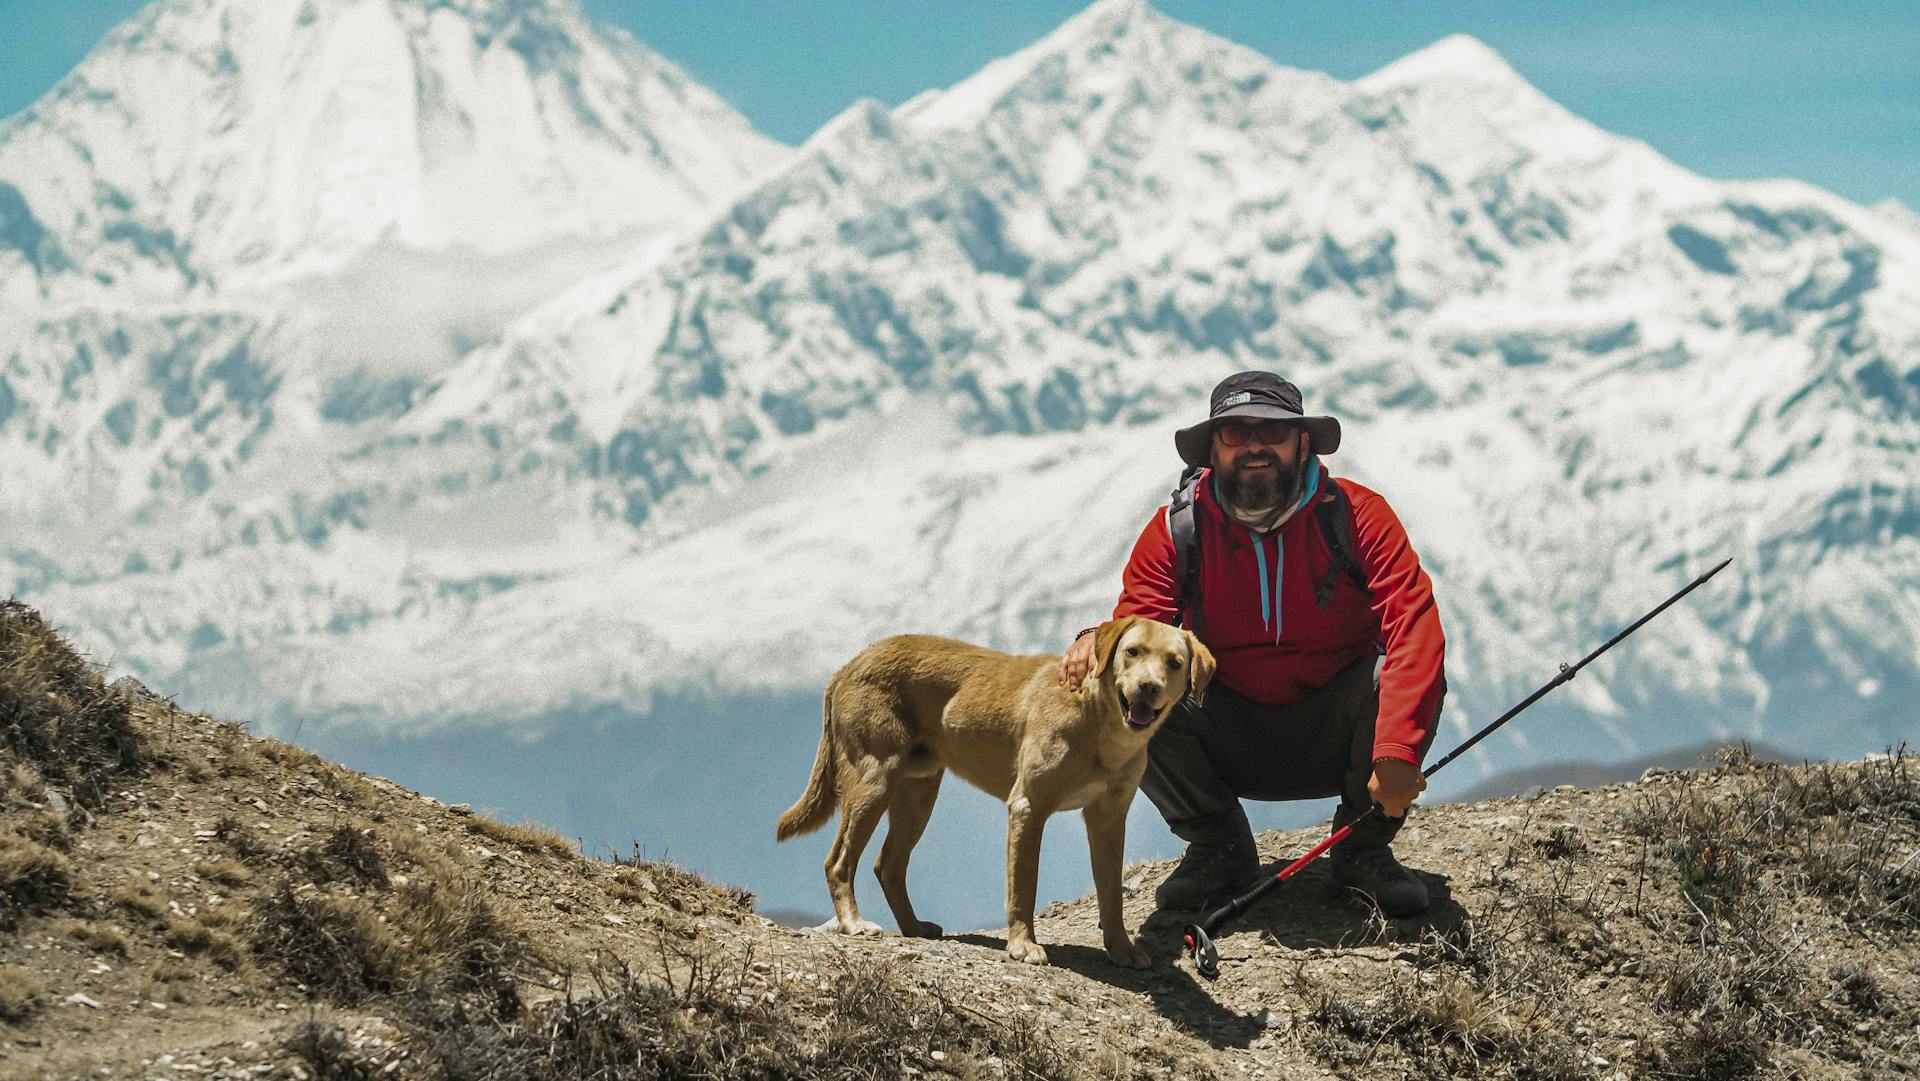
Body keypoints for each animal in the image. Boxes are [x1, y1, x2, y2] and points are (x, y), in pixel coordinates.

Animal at [768, 622, 1205, 967]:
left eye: (1174, 663)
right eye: (1133, 652)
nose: (1147, 688)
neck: (1103, 725)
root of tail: (847, 665)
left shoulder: (1109, 820)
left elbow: (1112, 893)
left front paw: (1122, 950)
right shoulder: (1029, 807)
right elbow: (1024, 886)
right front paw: (1023, 945)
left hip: (918, 795)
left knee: (887, 864)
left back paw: (912, 926)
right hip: (874, 781)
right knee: (839, 861)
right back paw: (853, 924)